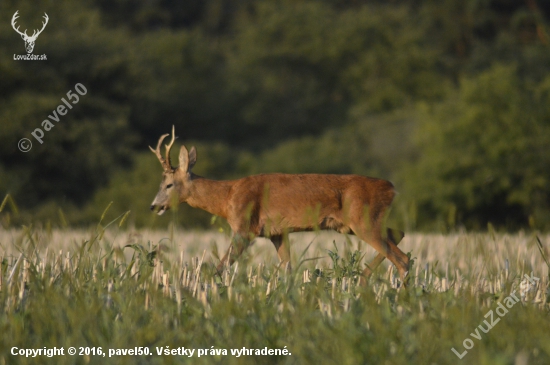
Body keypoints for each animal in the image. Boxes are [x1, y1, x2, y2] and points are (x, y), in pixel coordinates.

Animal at [151, 126, 410, 282]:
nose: (153, 206)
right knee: (398, 234)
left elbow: (222, 265)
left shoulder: (245, 228)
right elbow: (288, 268)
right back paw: (362, 279)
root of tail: (392, 188)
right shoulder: (276, 232)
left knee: (402, 258)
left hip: (364, 220)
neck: (227, 197)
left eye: (169, 185)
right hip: (361, 223)